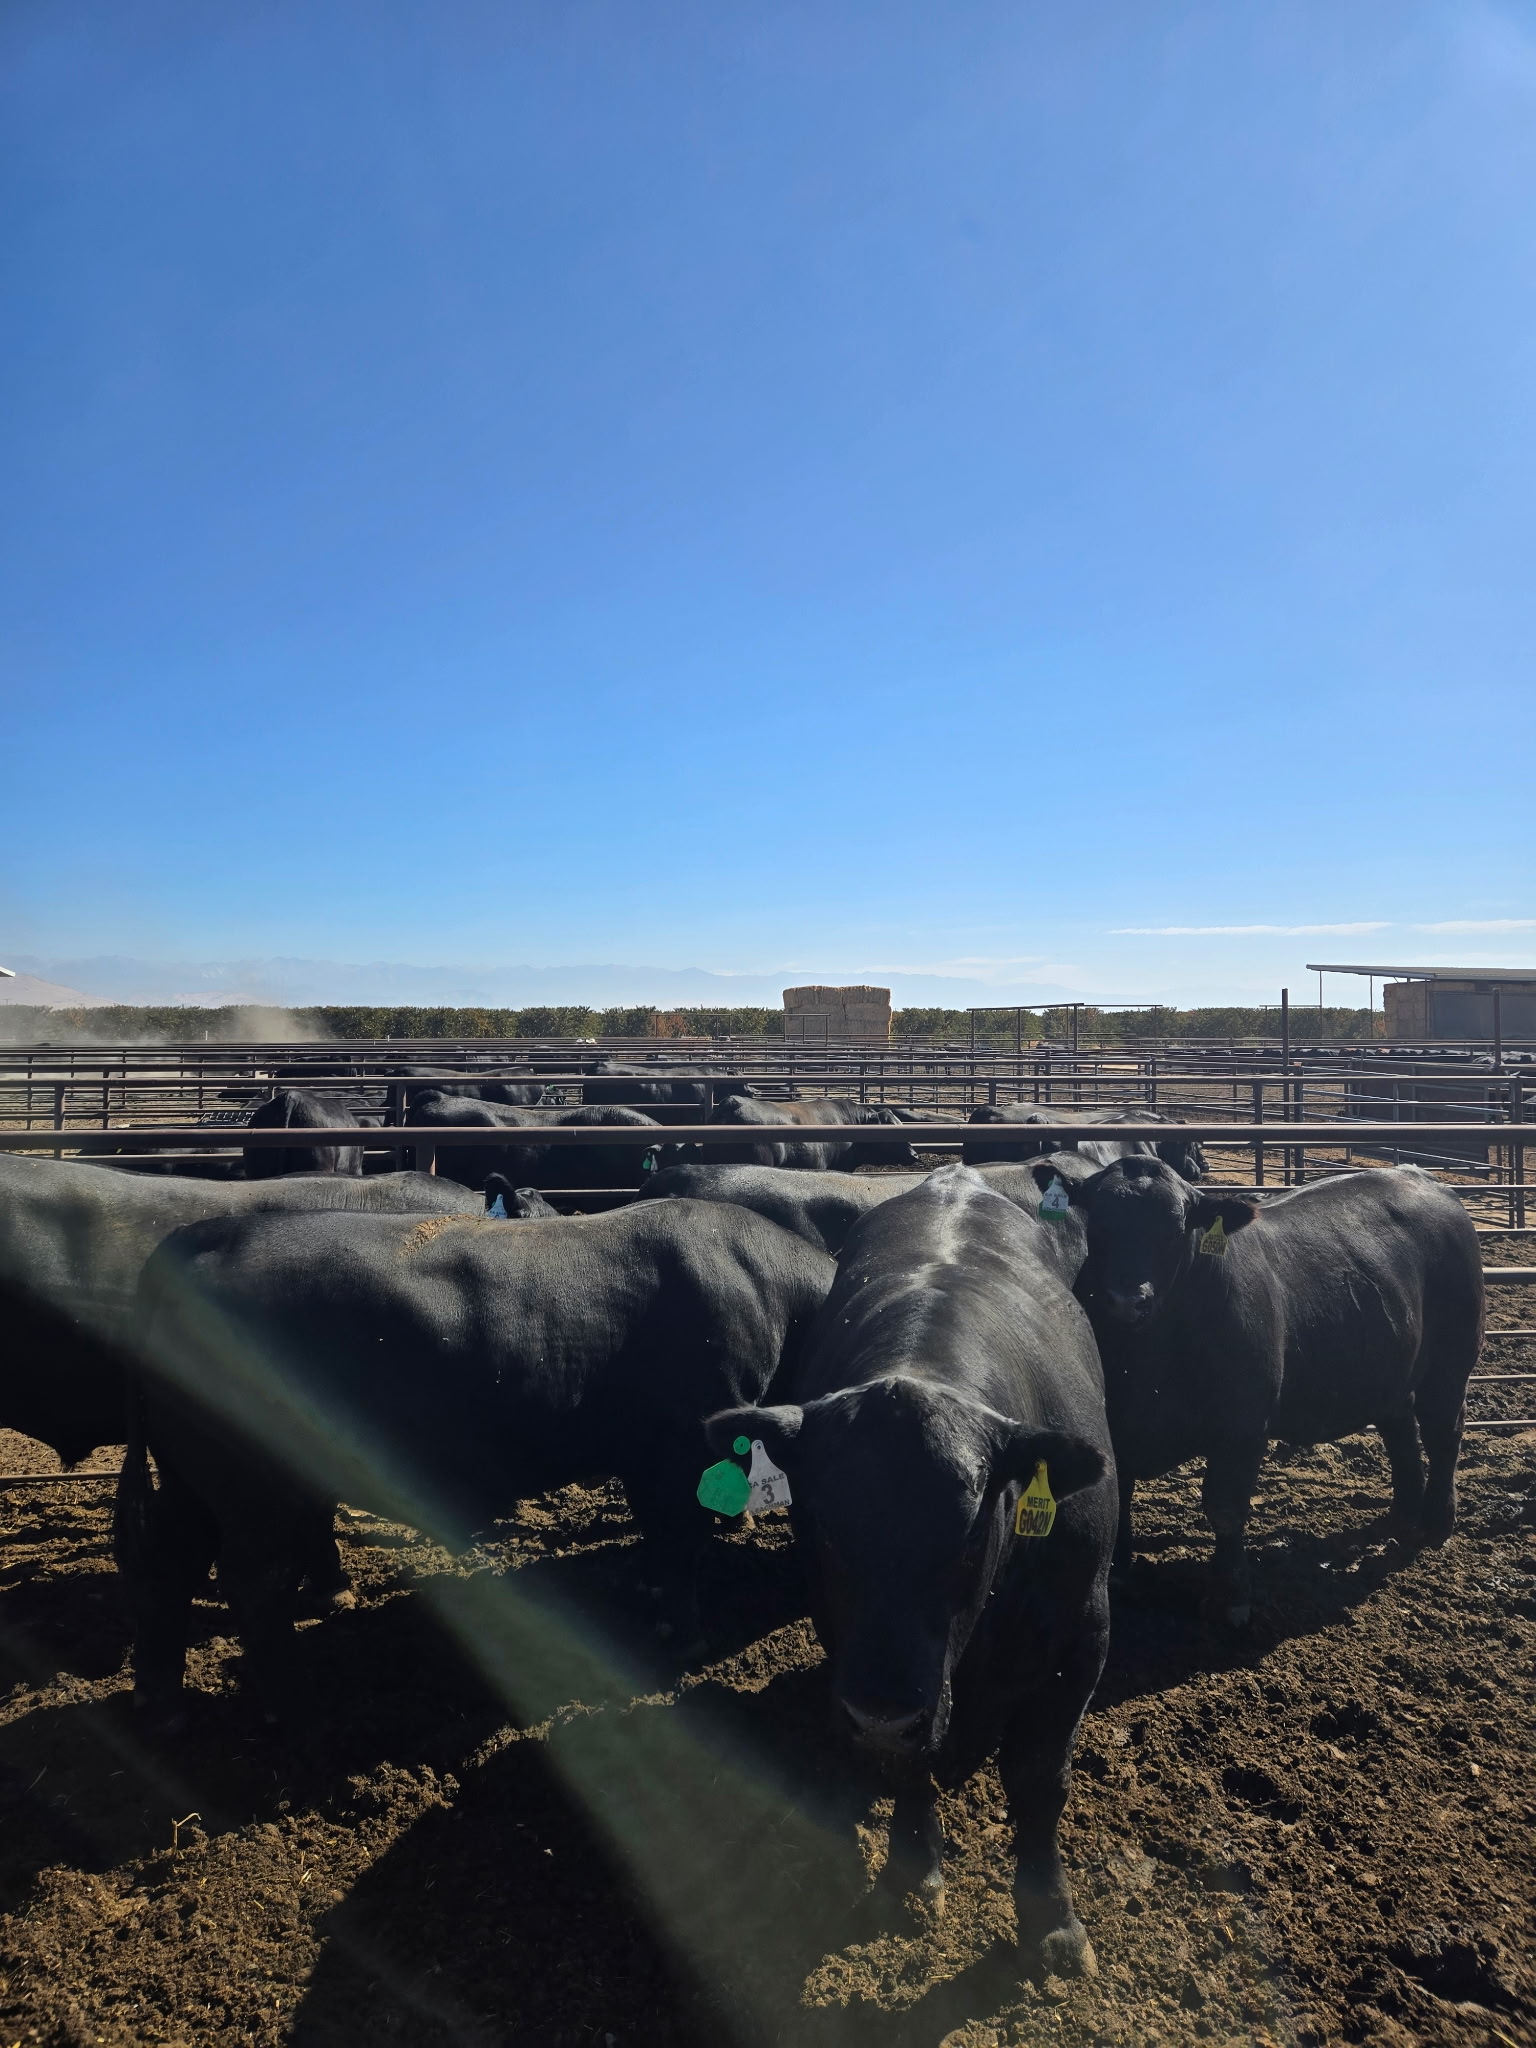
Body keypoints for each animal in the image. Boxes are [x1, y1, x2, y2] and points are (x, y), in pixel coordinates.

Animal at [117, 1202, 834, 1716]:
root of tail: (212, 1232)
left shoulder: (643, 1454)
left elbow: (661, 1538)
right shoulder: (684, 1443)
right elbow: (681, 1541)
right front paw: (685, 1636)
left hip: (189, 1476)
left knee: (169, 1563)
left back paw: (161, 1695)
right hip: (255, 1483)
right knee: (252, 1581)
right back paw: (293, 1702)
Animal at [703, 1164, 1114, 1978]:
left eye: (966, 1536)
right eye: (825, 1529)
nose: (885, 1714)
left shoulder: (1082, 1631)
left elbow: (1040, 1780)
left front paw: (1051, 1919)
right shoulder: (854, 1653)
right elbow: (905, 1768)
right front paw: (912, 1868)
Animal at [1059, 1158, 1484, 1624]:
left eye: (1175, 1228)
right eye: (1096, 1226)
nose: (1125, 1300)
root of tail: (1424, 1178)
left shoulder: (1243, 1423)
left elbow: (1225, 1508)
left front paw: (1231, 1596)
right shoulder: (1114, 1423)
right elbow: (1121, 1492)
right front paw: (1117, 1575)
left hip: (1451, 1363)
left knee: (1444, 1434)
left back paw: (1437, 1522)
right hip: (1391, 1372)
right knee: (1401, 1431)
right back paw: (1404, 1513)